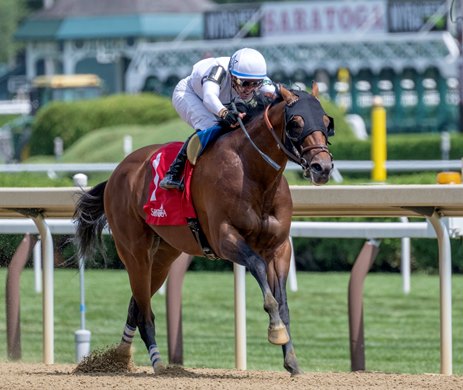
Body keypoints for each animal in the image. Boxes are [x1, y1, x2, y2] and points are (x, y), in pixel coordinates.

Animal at [73, 84, 334, 374]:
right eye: (296, 123)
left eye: (326, 122)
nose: (322, 167)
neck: (253, 174)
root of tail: (116, 173)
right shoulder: (224, 238)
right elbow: (258, 270)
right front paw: (276, 330)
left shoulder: (279, 247)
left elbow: (284, 301)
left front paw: (292, 361)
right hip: (134, 252)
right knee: (145, 312)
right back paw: (158, 364)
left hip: (163, 256)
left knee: (136, 306)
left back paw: (118, 359)